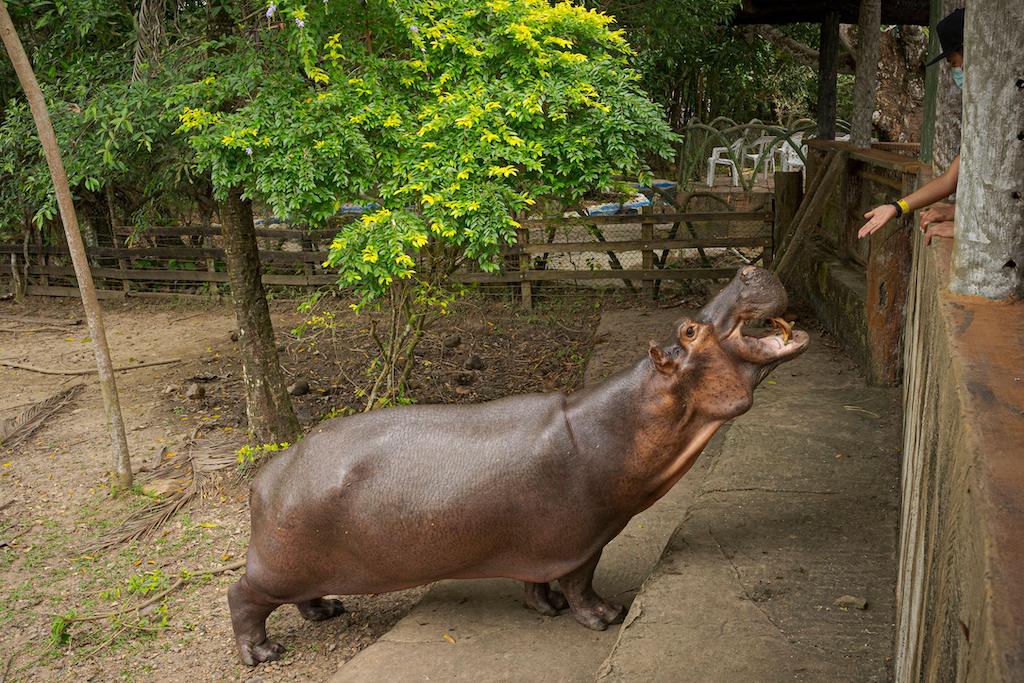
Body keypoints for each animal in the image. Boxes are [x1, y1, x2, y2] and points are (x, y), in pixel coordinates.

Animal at [230, 264, 806, 663]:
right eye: (689, 331)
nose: (748, 267)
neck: (624, 419)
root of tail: (267, 475)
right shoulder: (584, 540)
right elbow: (582, 584)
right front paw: (605, 617)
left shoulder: (543, 545)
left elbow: (539, 582)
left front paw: (545, 609)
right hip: (274, 568)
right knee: (241, 597)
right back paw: (263, 654)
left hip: (300, 567)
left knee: (297, 595)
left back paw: (326, 611)